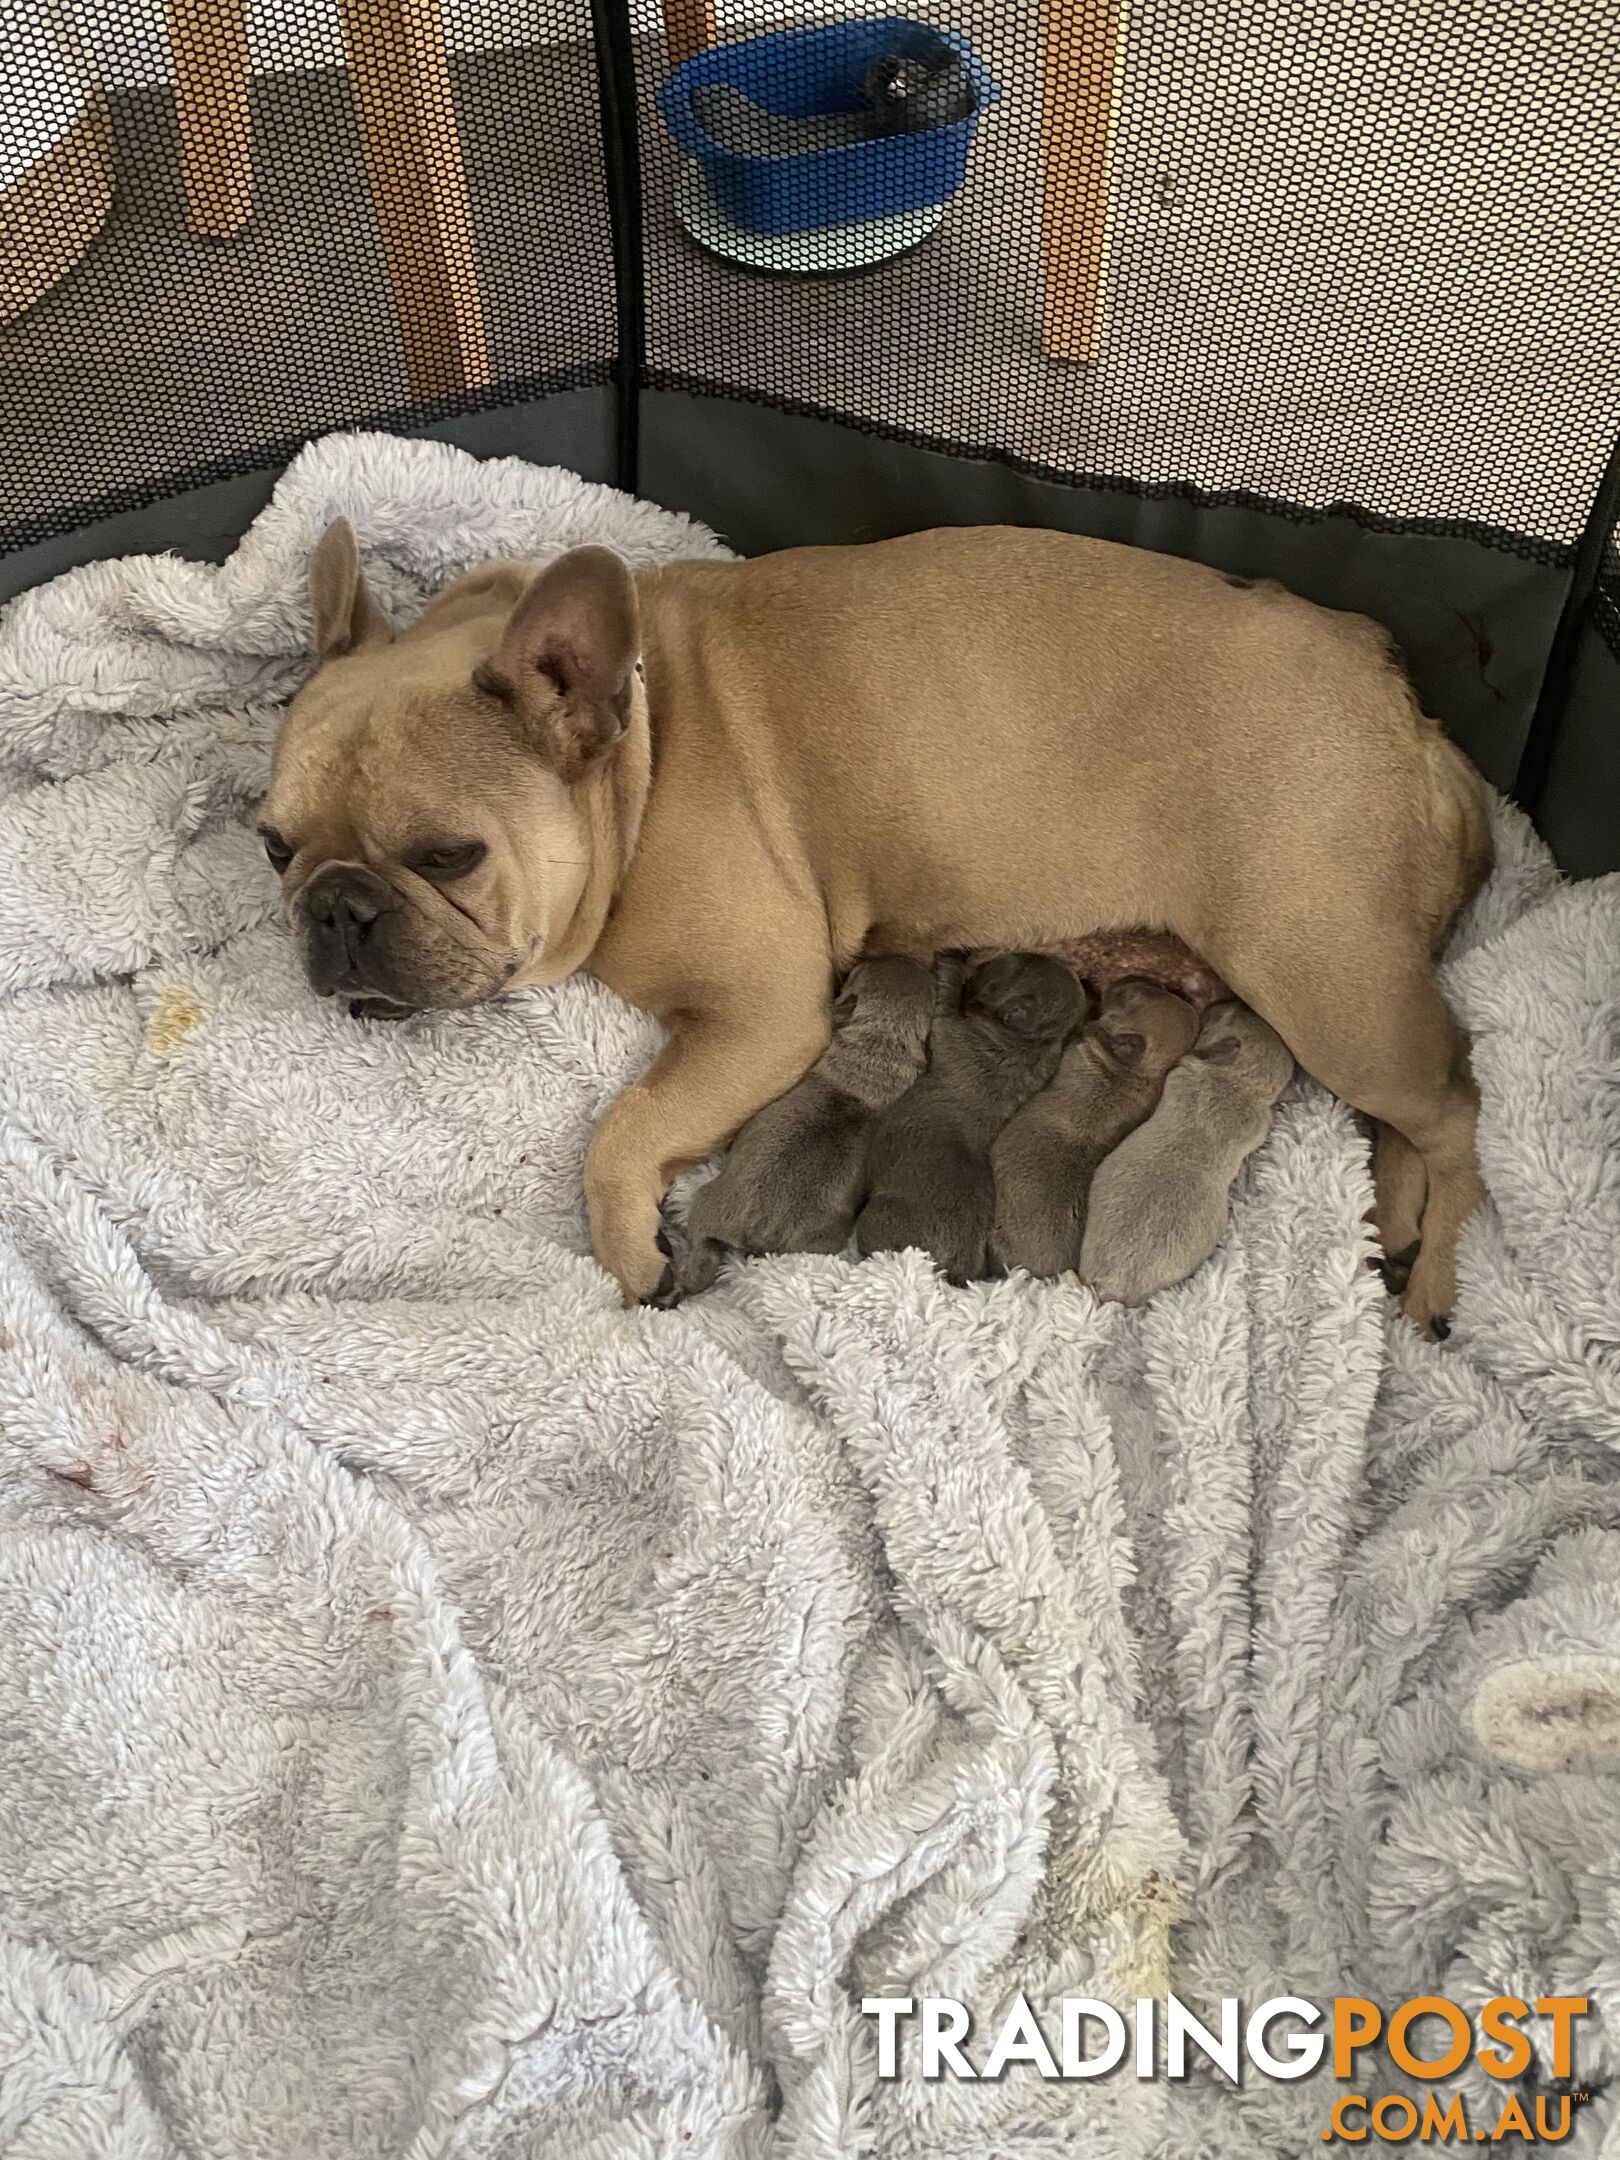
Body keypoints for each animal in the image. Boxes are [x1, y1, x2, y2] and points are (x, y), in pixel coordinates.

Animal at [855, 959, 1084, 1278]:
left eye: (993, 978)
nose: (980, 963)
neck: (1031, 1044)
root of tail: (950, 1270)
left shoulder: (954, 1033)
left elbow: (946, 1003)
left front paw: (950, 962)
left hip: (878, 1220)